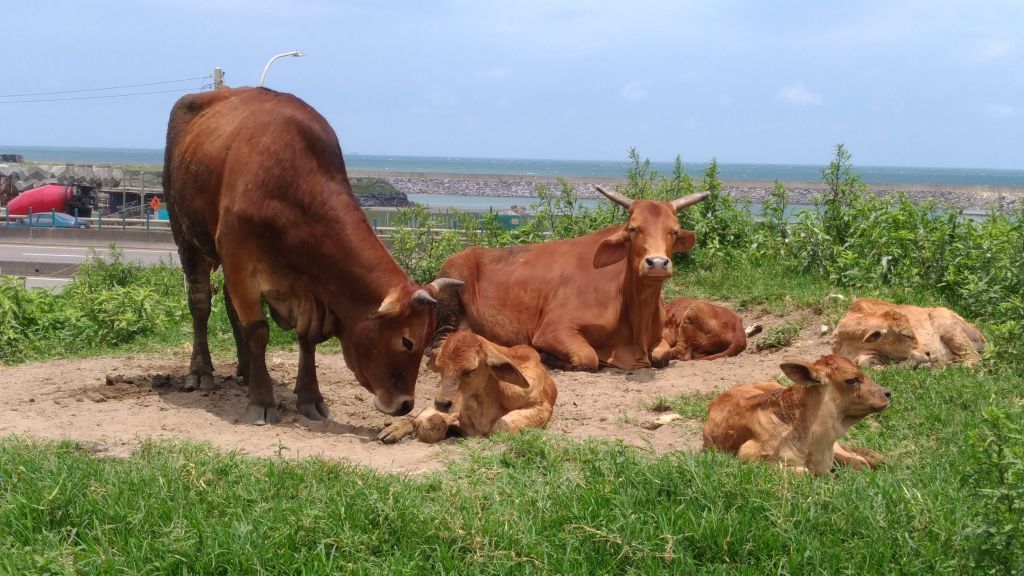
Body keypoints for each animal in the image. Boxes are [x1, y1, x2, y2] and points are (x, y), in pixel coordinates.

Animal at [163, 87, 460, 424]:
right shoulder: (240, 260)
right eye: (407, 341)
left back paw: (247, 369)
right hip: (188, 239)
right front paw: (261, 400)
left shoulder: (309, 292)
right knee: (200, 304)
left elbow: (306, 340)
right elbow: (257, 331)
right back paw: (201, 371)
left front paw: (309, 397)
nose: (405, 405)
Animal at [376, 330, 557, 440]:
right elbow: (429, 426)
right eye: (440, 368)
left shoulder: (541, 407)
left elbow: (502, 426)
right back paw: (391, 430)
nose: (442, 403)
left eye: (471, 369)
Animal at [430, 186, 704, 368]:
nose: (657, 263)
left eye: (674, 230)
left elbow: (662, 355)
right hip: (449, 293)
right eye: (633, 228)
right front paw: (547, 356)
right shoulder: (554, 330)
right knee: (437, 349)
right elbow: (588, 359)